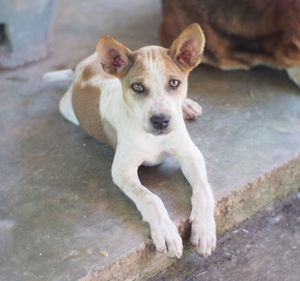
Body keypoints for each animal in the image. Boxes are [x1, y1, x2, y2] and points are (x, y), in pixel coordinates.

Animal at [44, 24, 216, 258]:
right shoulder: (122, 171)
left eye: (174, 83)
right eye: (137, 87)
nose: (161, 121)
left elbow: (203, 190)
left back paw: (186, 106)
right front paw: (166, 231)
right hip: (66, 108)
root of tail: (82, 67)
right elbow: (150, 197)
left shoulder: (190, 154)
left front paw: (205, 229)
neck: (152, 138)